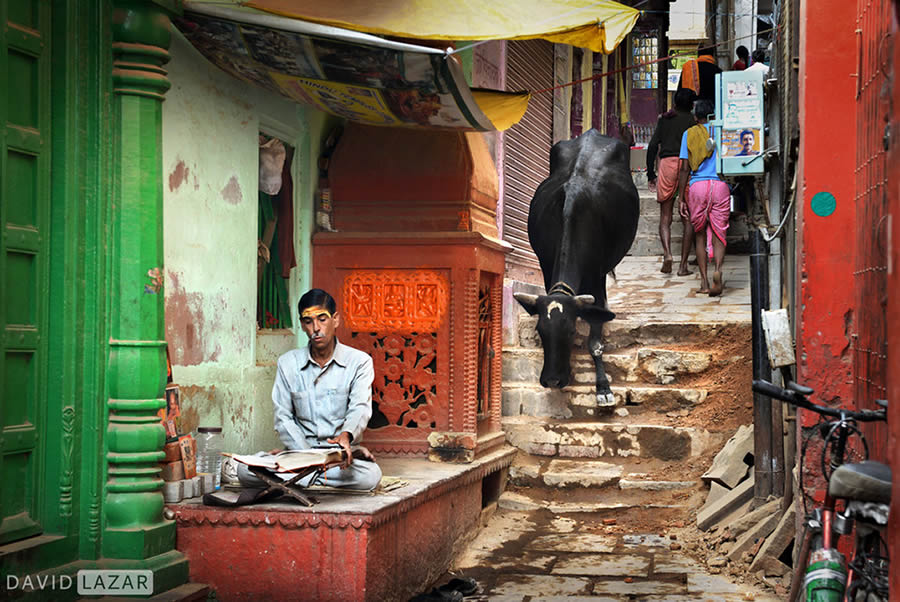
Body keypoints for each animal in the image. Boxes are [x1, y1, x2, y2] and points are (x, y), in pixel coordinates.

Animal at [512, 129, 640, 406]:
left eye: (570, 331)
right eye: (540, 331)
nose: (552, 380)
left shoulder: (597, 276)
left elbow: (595, 341)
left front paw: (603, 388)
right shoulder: (545, 266)